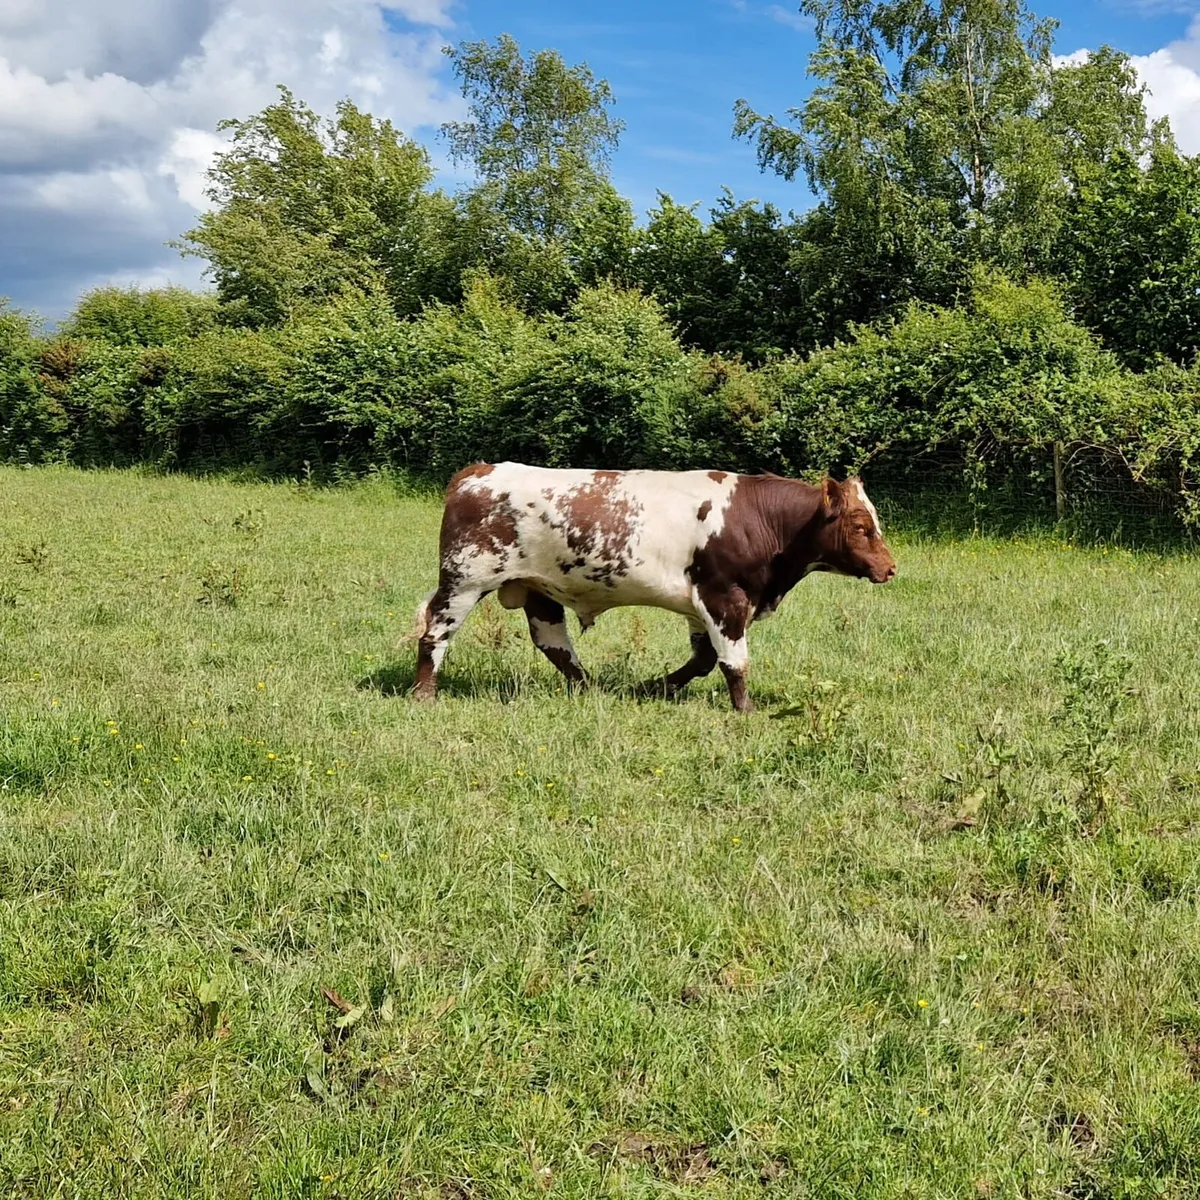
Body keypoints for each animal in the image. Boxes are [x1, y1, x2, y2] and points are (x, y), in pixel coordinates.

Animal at [411, 462, 896, 713]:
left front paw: (653, 688)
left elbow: (703, 660)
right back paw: (424, 694)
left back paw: (591, 688)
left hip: (538, 588)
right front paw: (745, 711)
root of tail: (479, 470)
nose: (891, 568)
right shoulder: (726, 598)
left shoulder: (702, 605)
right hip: (464, 579)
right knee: (435, 633)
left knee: (555, 644)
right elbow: (734, 662)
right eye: (860, 525)